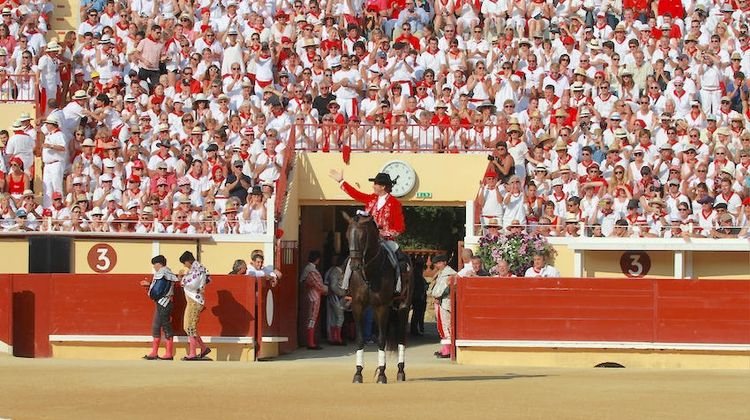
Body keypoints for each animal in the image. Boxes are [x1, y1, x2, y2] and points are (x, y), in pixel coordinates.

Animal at [344, 213, 414, 384]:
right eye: (347, 235)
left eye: (362, 236)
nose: (355, 265)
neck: (369, 272)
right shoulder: (358, 306)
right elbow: (360, 339)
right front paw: (358, 373)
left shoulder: (382, 306)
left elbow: (382, 340)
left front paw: (382, 375)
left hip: (402, 307)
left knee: (401, 338)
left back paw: (400, 372)